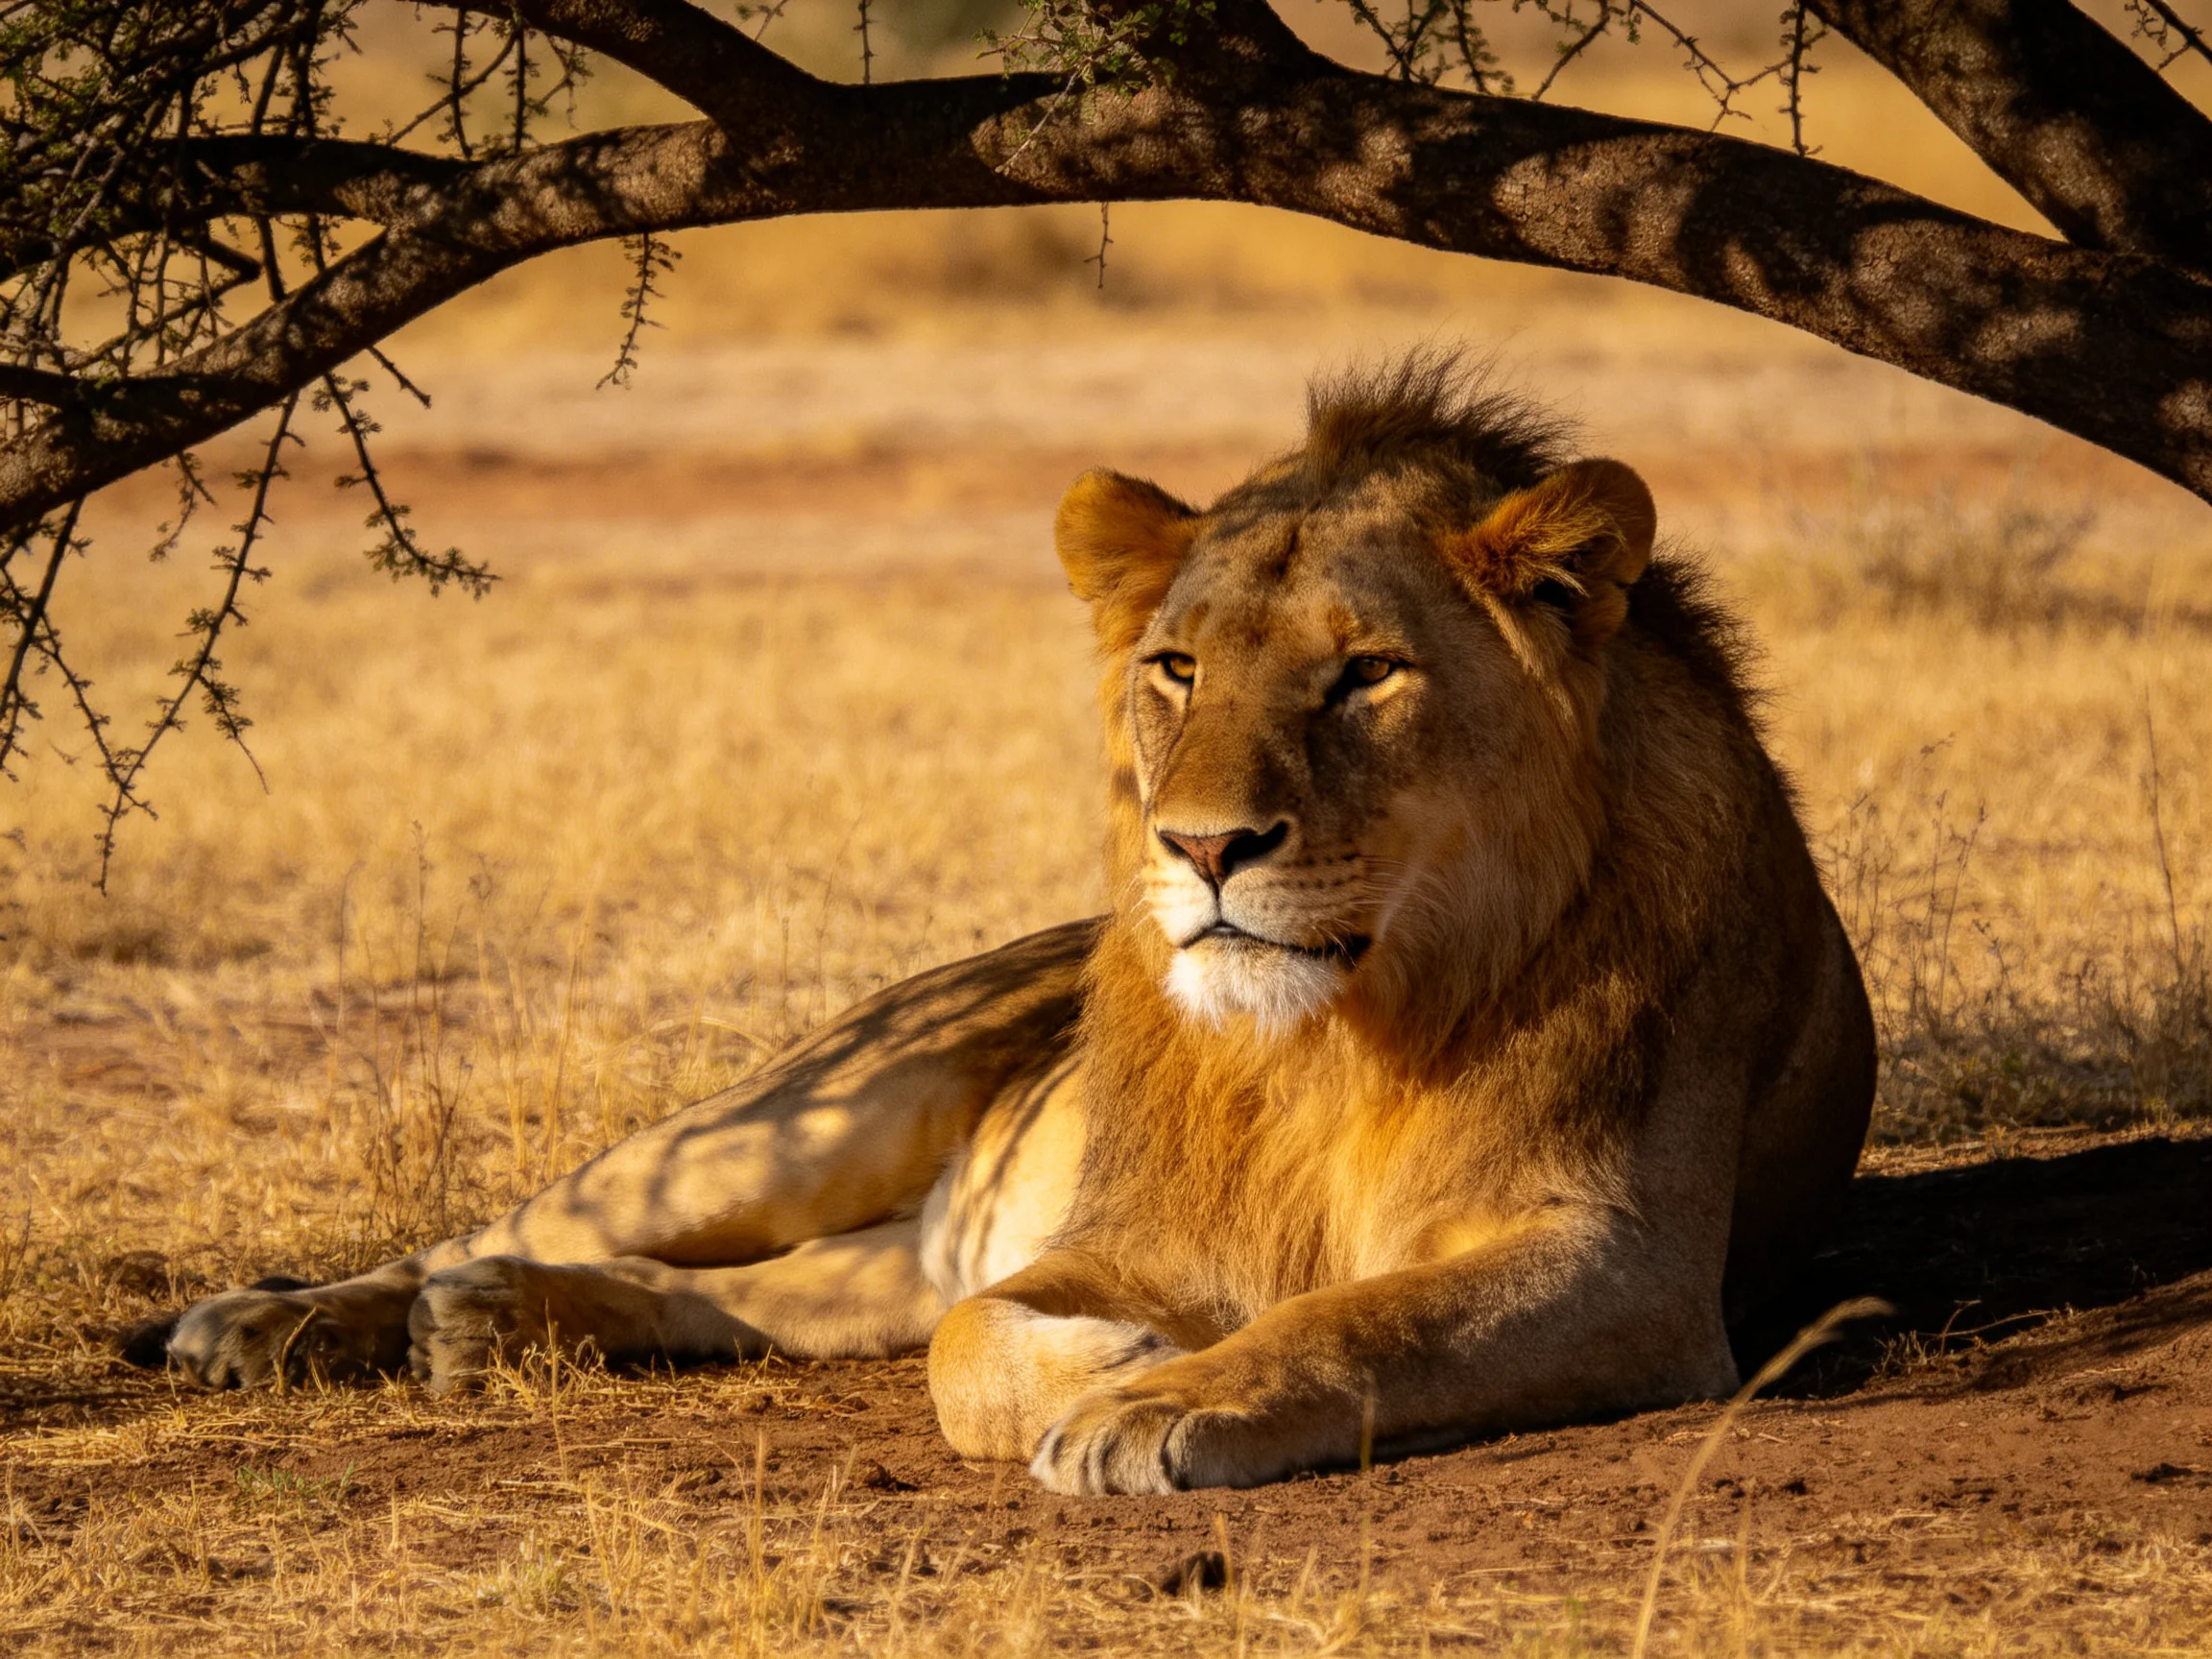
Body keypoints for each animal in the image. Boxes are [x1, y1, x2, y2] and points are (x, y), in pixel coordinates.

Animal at [158, 355, 1874, 1495]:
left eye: (1366, 673)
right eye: (1178, 667)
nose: (1205, 845)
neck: (1336, 1036)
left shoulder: (1622, 1260)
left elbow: (1364, 1320)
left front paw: (1155, 1404)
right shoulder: (1122, 1238)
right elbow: (976, 1343)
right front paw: (1126, 1371)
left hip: (871, 1228)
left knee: (763, 1295)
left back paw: (488, 1326)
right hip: (795, 1118)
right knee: (528, 1224)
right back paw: (275, 1324)